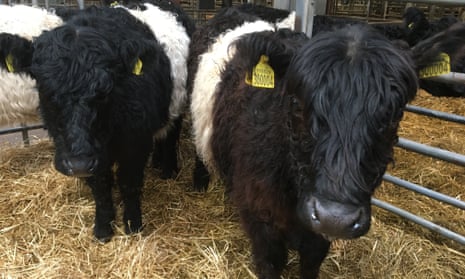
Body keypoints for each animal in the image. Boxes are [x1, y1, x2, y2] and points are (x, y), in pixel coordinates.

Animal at [30, 0, 191, 243]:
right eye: (46, 90)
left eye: (105, 92)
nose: (77, 165)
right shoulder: (96, 156)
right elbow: (101, 187)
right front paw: (103, 228)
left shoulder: (135, 144)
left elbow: (129, 183)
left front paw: (133, 225)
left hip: (178, 105)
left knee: (171, 135)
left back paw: (168, 169)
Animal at [188, 23, 416, 279]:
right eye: (297, 103)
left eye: (394, 116)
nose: (335, 218)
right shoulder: (261, 222)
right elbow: (270, 263)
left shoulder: (317, 238)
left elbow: (310, 263)